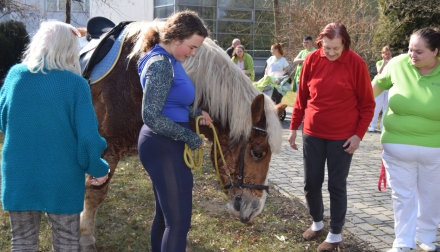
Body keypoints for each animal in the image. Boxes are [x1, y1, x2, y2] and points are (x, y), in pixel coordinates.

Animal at [79, 20, 284, 251]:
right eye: (258, 153)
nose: (255, 209)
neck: (131, 76)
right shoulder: (107, 148)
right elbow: (95, 192)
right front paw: (85, 238)